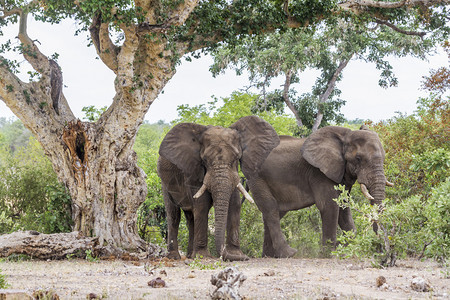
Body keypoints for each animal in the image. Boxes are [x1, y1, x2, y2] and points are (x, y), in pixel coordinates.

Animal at [156, 116, 280, 262]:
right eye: (204, 160)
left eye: (236, 158)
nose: (222, 255)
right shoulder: (193, 170)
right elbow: (202, 204)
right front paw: (203, 256)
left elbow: (234, 203)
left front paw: (237, 255)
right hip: (164, 181)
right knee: (174, 216)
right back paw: (175, 257)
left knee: (190, 218)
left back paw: (190, 255)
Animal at [246, 124, 394, 258]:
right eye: (358, 158)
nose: (379, 251)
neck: (345, 136)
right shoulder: (319, 173)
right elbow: (329, 206)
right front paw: (329, 255)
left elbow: (343, 208)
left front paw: (348, 251)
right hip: (256, 177)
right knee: (270, 208)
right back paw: (287, 254)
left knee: (274, 212)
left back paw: (270, 256)